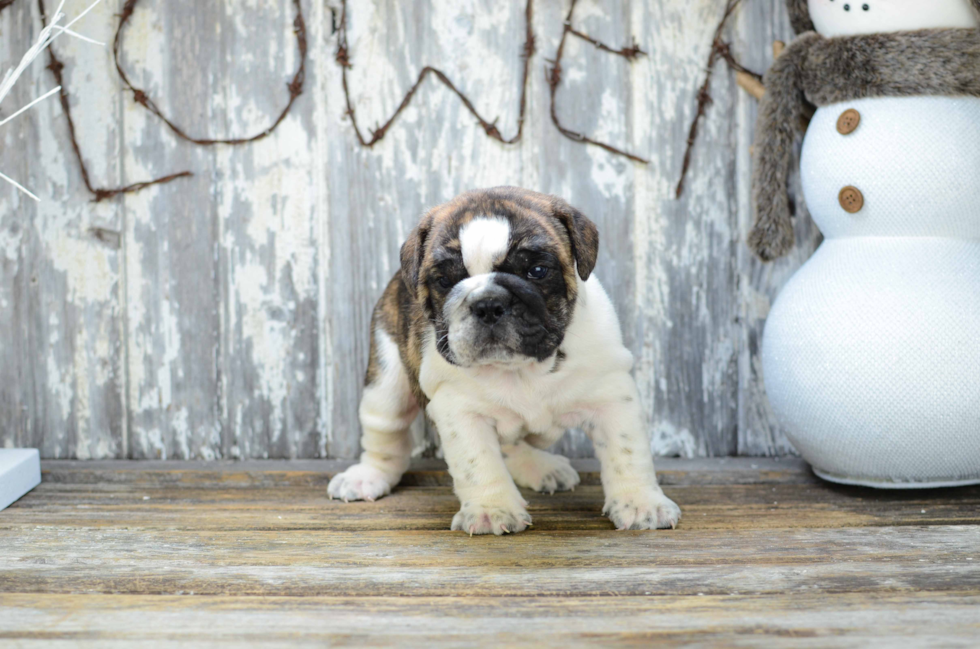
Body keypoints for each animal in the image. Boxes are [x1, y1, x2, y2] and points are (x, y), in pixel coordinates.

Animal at [330, 186, 680, 532]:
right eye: (444, 280)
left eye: (537, 271)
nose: (487, 304)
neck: (522, 368)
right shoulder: (460, 412)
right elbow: (478, 463)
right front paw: (491, 509)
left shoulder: (612, 395)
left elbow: (628, 452)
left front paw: (641, 502)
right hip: (386, 379)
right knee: (385, 432)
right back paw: (367, 476)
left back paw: (539, 466)